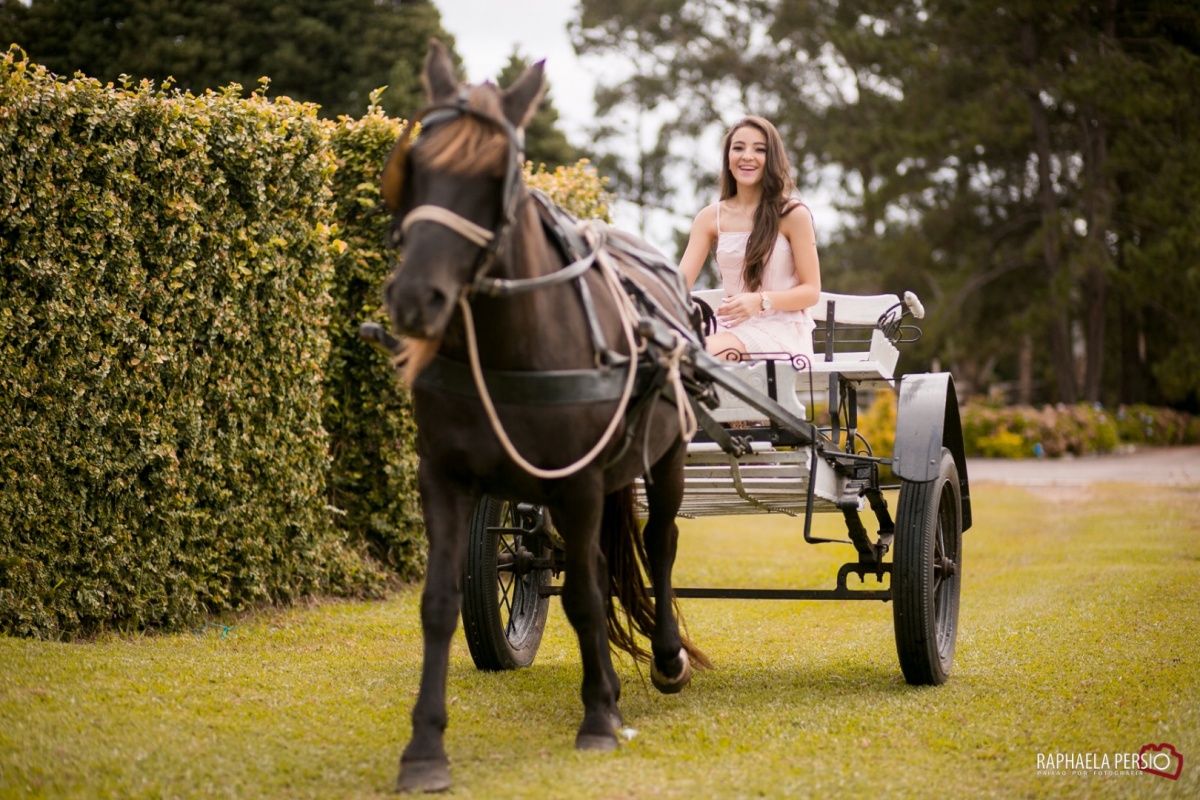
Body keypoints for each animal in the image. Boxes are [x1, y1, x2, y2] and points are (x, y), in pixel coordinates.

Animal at [378, 40, 712, 792]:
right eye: (417, 165)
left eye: (496, 175)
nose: (416, 298)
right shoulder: (445, 477)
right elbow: (439, 602)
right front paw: (424, 748)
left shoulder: (578, 481)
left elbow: (587, 595)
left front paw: (598, 720)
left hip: (665, 456)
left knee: (659, 543)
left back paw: (664, 658)